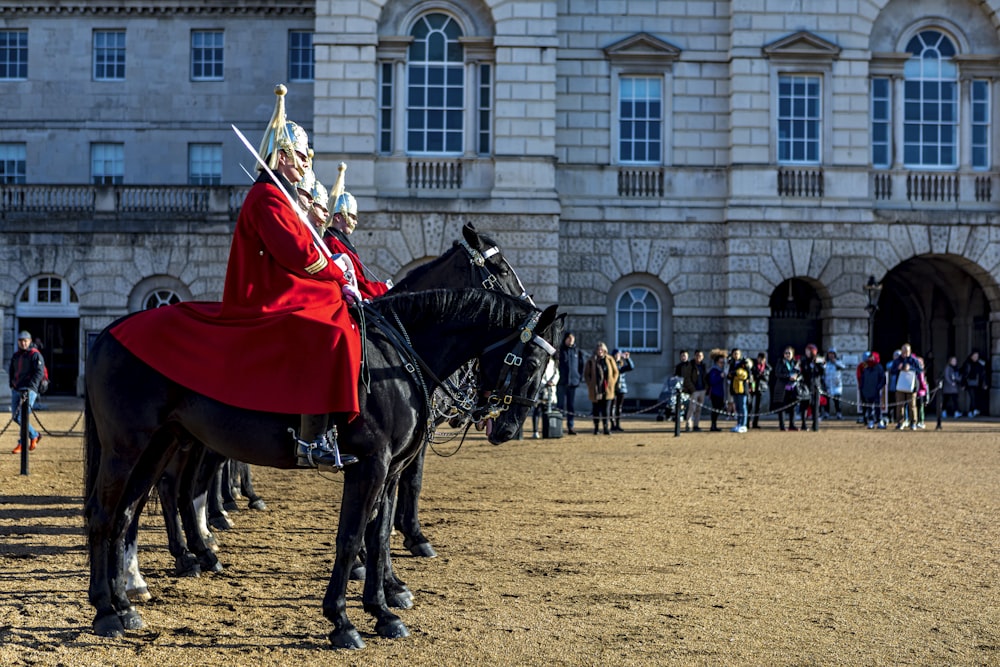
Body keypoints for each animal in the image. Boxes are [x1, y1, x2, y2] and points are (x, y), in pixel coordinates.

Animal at [84, 288, 564, 648]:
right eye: (534, 362)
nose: (508, 427)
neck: (398, 358)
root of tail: (110, 330)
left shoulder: (390, 470)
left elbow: (379, 535)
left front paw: (383, 610)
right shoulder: (370, 465)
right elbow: (350, 538)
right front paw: (342, 621)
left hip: (161, 444)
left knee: (129, 514)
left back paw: (129, 601)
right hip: (129, 447)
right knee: (106, 516)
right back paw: (108, 608)